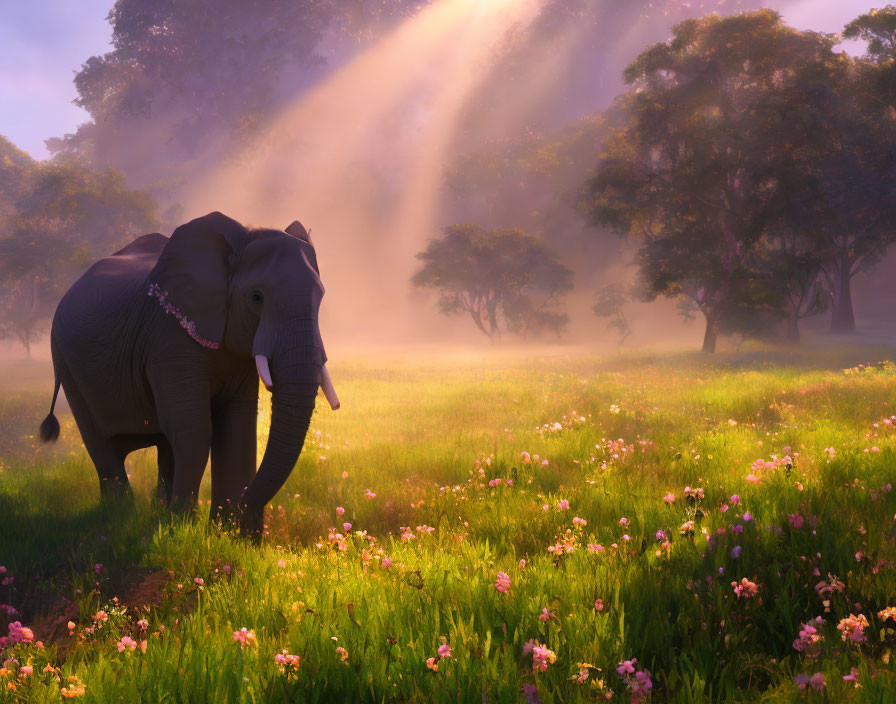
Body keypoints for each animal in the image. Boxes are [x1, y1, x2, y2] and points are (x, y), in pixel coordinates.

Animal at [37, 212, 340, 536]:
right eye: (256, 297)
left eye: (321, 296)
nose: (244, 514)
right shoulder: (169, 337)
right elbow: (193, 428)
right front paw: (183, 530)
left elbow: (237, 426)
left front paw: (228, 537)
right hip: (65, 360)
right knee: (102, 444)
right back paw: (123, 517)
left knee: (164, 445)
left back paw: (156, 512)